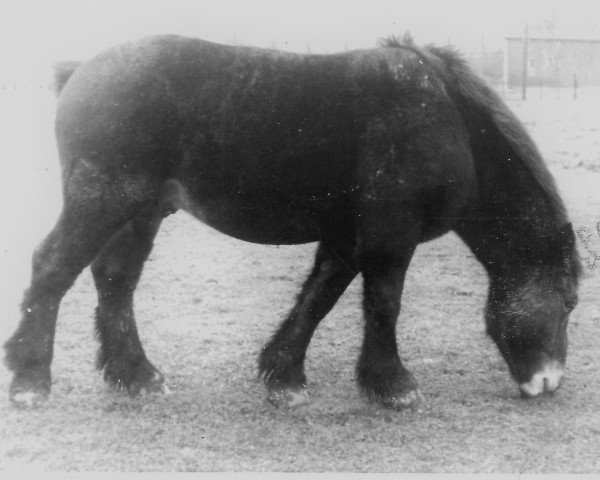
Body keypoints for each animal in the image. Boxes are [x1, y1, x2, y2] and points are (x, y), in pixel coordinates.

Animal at [4, 34, 580, 408]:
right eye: (570, 300)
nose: (549, 382)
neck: (446, 121)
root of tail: (82, 70)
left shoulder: (347, 237)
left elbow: (318, 298)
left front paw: (284, 376)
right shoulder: (390, 240)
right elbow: (383, 304)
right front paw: (393, 386)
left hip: (139, 212)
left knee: (115, 282)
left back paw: (137, 376)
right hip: (102, 201)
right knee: (52, 269)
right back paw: (30, 380)